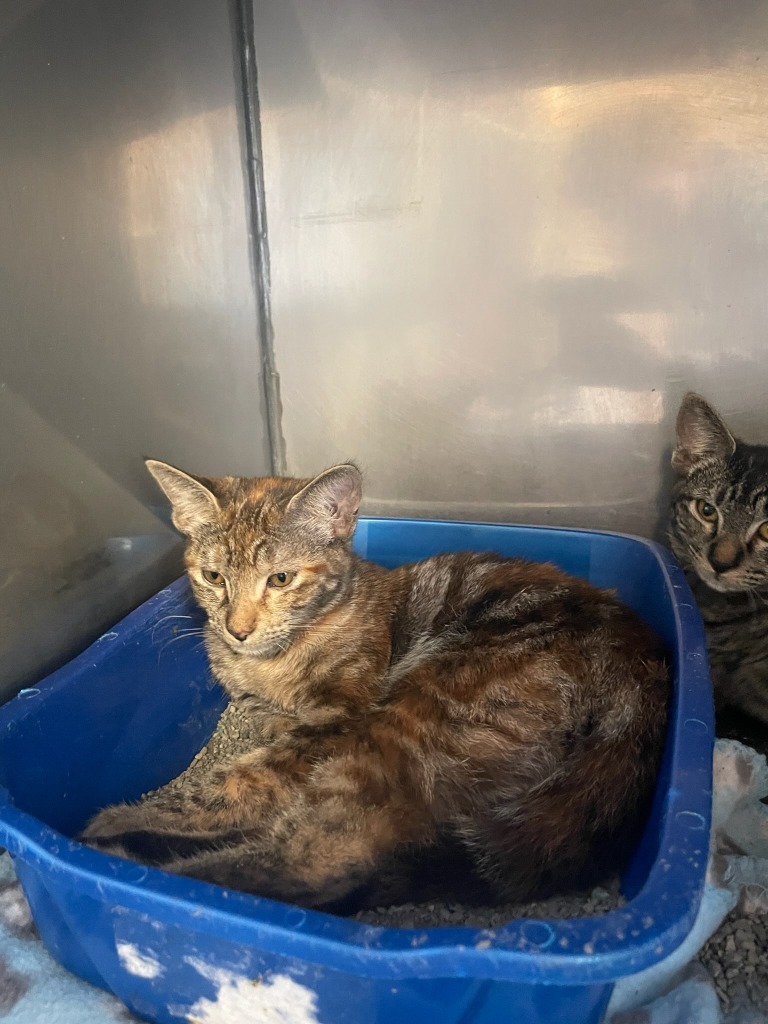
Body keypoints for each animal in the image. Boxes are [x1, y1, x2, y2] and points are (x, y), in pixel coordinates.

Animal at [76, 460, 667, 909]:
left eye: (281, 579)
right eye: (213, 577)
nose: (236, 629)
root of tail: (640, 658)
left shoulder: (336, 722)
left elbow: (231, 787)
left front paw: (126, 818)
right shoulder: (264, 708)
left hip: (413, 722)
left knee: (316, 861)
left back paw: (126, 848)